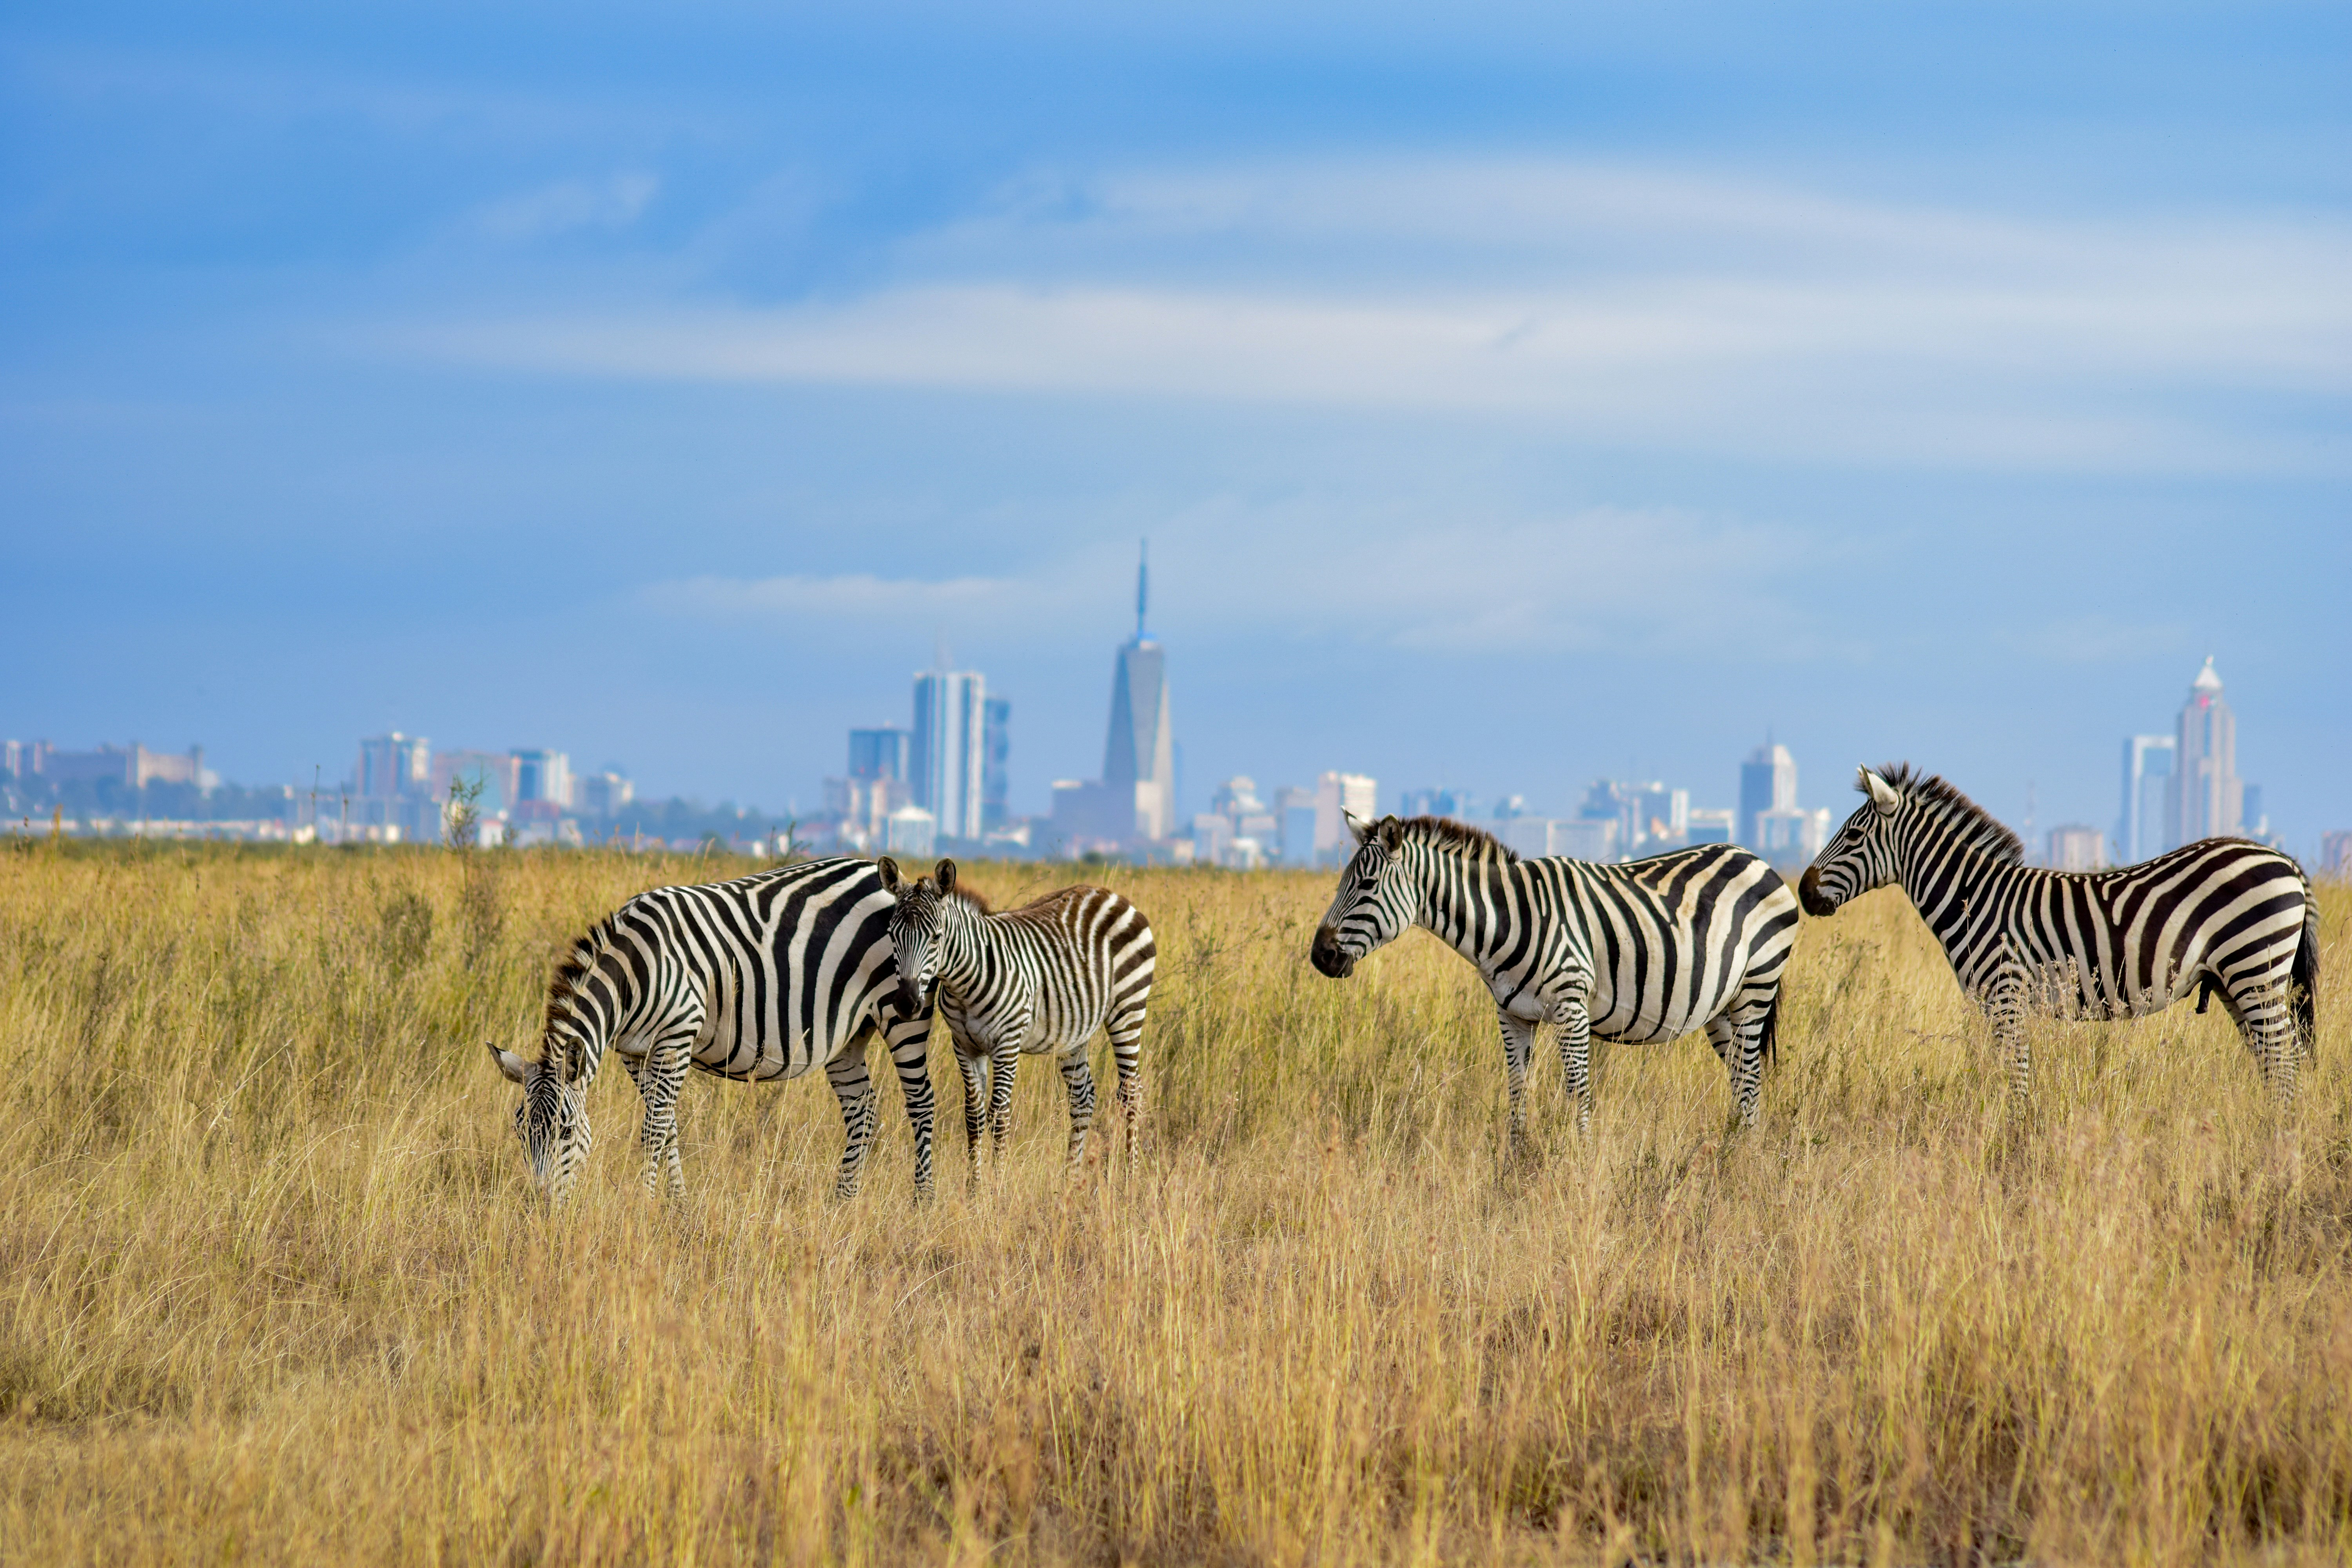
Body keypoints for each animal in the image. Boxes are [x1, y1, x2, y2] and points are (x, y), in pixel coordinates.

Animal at [486, 855, 938, 1204]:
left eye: (565, 1130)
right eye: (520, 1131)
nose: (542, 1205)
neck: (633, 973)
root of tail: (882, 876)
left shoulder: (677, 1035)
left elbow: (654, 1128)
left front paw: (645, 1205)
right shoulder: (634, 1052)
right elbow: (668, 1127)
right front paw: (678, 1205)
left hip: (902, 1010)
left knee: (921, 1102)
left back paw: (923, 1202)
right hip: (849, 1032)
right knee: (863, 1107)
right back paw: (843, 1200)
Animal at [878, 857, 1153, 1179]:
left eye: (936, 938)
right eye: (892, 935)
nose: (907, 1004)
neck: (964, 983)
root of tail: (1110, 894)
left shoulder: (1007, 1045)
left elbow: (999, 1116)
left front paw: (997, 1185)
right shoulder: (964, 1046)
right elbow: (973, 1116)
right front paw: (974, 1187)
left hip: (1128, 1010)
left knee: (1131, 1092)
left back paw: (1130, 1176)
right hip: (1074, 1031)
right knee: (1083, 1098)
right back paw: (1070, 1178)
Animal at [1310, 815, 1802, 1132]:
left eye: (1367, 886)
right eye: (1341, 882)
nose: (1320, 956)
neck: (1507, 920)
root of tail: (1757, 858)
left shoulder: (1572, 1007)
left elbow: (1578, 1094)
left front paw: (1577, 1172)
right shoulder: (1512, 1015)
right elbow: (1517, 1094)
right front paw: (1513, 1171)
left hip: (1756, 987)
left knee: (1751, 1080)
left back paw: (1741, 1163)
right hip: (1722, 1007)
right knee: (1742, 1080)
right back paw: (1733, 1152)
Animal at [1799, 764, 2321, 1099]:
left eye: (1852, 836)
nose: (1803, 891)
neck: (1975, 898)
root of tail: (2286, 861)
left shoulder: (2006, 996)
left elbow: (2017, 1077)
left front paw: (2015, 1140)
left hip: (2254, 968)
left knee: (2285, 1060)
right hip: (2237, 981)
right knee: (2274, 1061)